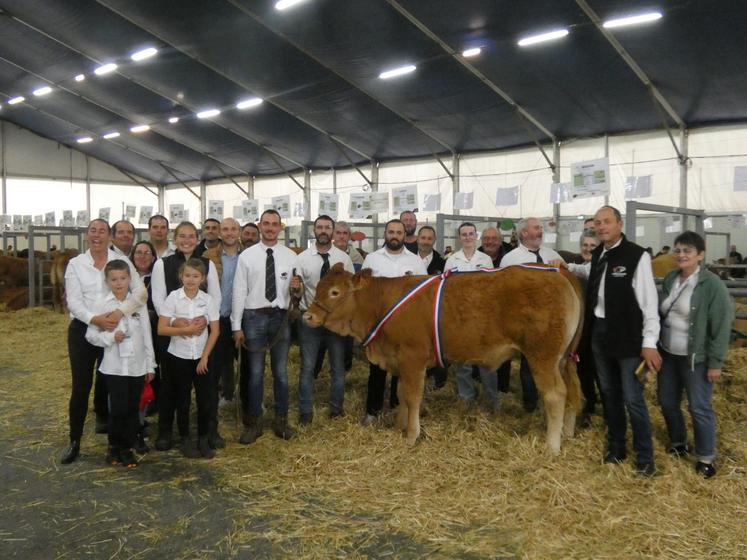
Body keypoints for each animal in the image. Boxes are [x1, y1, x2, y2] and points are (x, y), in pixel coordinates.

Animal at [304, 264, 584, 456]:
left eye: (334, 292)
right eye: (318, 286)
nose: (307, 316)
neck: (382, 303)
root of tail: (557, 270)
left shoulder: (413, 357)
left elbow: (413, 397)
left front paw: (412, 435)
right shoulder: (402, 361)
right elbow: (403, 393)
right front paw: (398, 427)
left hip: (543, 356)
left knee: (555, 394)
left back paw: (552, 445)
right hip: (564, 360)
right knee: (572, 391)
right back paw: (568, 434)